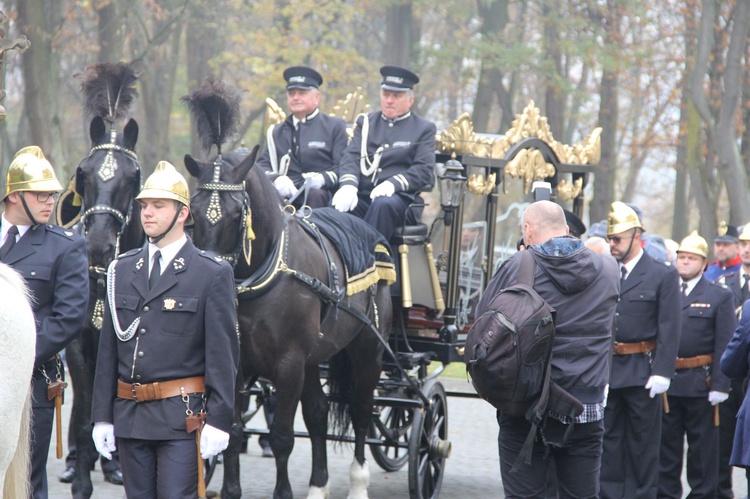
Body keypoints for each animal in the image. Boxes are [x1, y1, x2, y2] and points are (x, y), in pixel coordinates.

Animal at [187, 149, 394, 499]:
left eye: (236, 214)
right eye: (194, 209)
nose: (207, 277)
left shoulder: (289, 363)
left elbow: (282, 436)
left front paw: (282, 492)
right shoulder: (235, 362)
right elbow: (232, 432)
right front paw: (230, 489)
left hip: (367, 353)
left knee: (361, 412)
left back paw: (358, 483)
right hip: (312, 360)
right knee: (318, 413)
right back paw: (318, 485)